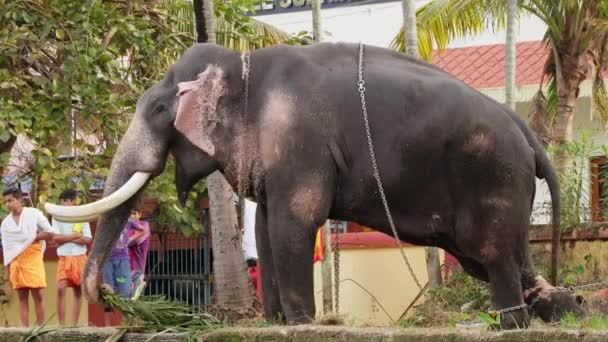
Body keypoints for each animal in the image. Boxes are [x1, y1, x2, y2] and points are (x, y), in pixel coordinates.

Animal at [44, 42, 584, 328]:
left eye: (159, 109)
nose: (107, 298)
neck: (243, 65)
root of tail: (529, 135)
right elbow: (265, 228)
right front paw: (276, 323)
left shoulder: (299, 142)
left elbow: (295, 221)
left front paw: (301, 323)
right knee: (503, 259)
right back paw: (563, 306)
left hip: (494, 175)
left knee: (493, 255)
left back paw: (510, 323)